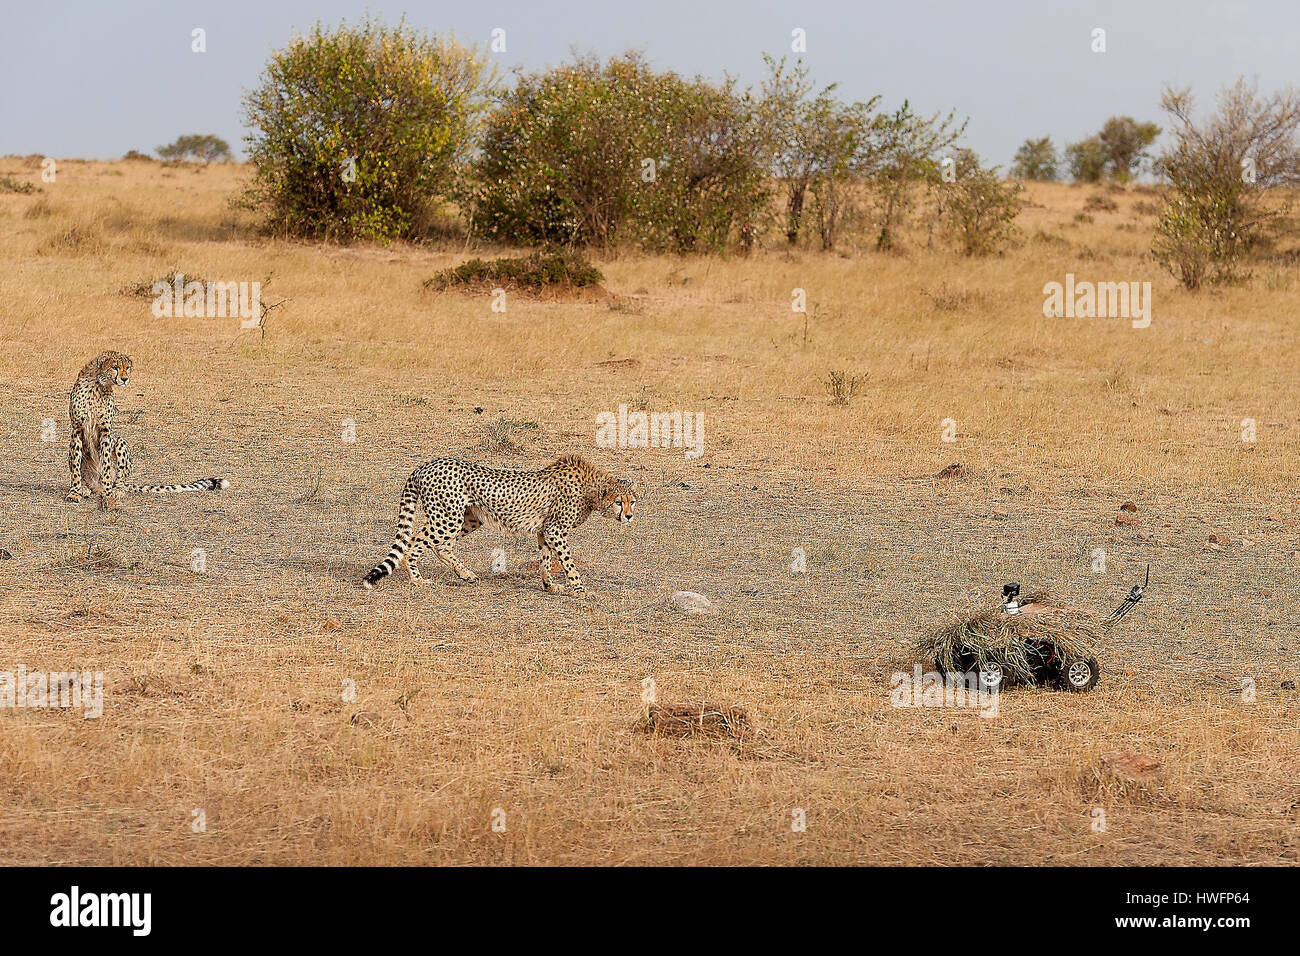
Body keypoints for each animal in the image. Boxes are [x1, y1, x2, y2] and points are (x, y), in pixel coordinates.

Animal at [66, 348, 231, 502]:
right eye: (114, 367)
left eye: (127, 367)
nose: (125, 379)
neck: (98, 383)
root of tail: (96, 485)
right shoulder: (77, 429)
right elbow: (75, 467)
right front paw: (75, 492)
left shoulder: (105, 431)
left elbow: (105, 464)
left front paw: (107, 493)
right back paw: (85, 488)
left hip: (120, 442)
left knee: (120, 478)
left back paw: (116, 489)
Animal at [364, 455, 637, 595]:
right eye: (618, 502)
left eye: (632, 501)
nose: (629, 516)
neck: (590, 489)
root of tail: (427, 464)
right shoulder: (555, 531)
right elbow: (568, 562)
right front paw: (580, 589)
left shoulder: (544, 531)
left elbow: (546, 560)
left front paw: (549, 585)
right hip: (447, 518)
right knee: (414, 543)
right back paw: (418, 580)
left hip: (468, 518)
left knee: (440, 545)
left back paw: (465, 574)